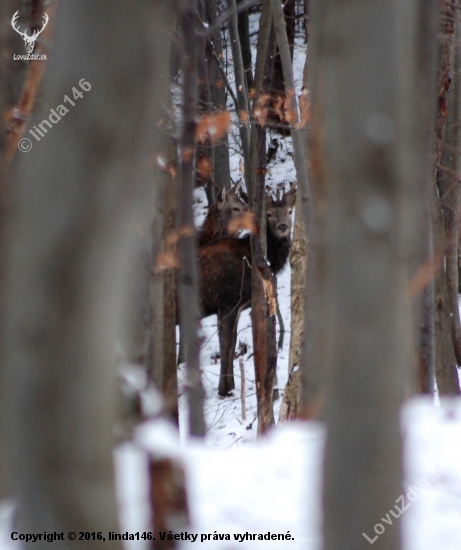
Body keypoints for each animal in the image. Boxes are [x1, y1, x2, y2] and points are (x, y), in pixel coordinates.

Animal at [198, 185, 294, 396]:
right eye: (269, 214)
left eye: (290, 211)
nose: (283, 226)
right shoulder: (227, 302)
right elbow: (226, 345)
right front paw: (224, 389)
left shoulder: (238, 307)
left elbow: (232, 343)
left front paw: (231, 386)